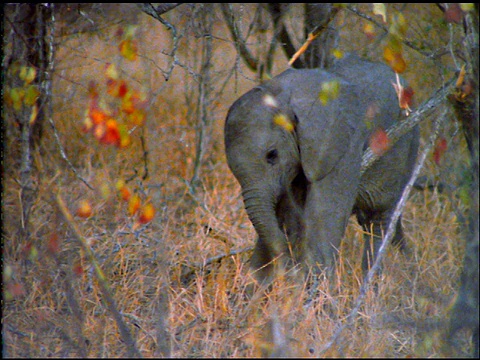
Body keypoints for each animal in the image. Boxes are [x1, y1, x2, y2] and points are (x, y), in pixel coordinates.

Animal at [225, 53, 420, 284]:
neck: (284, 95)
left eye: (272, 155)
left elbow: (323, 217)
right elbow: (288, 215)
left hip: (410, 145)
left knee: (378, 220)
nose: (288, 266)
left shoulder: (344, 141)